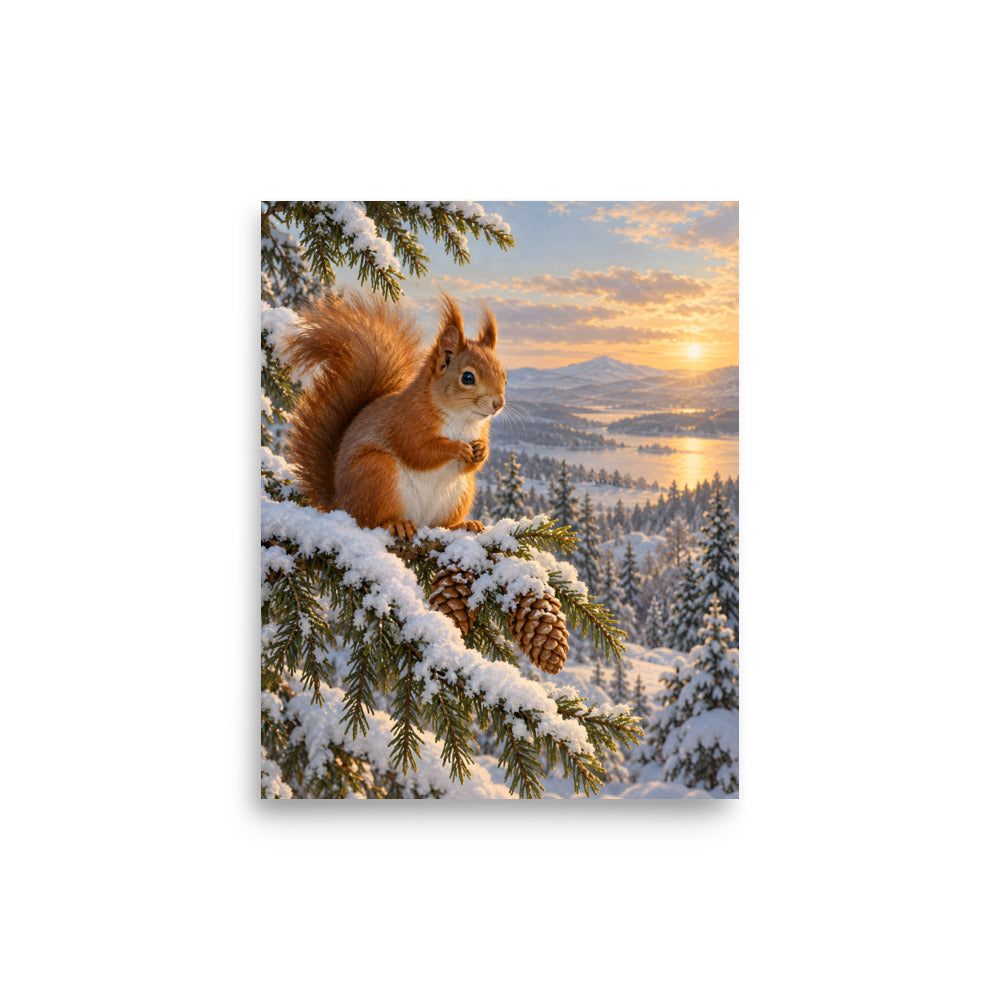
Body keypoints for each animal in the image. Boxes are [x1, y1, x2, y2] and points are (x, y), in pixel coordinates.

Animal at [284, 289, 506, 540]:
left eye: (504, 376)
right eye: (468, 377)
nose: (498, 404)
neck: (462, 418)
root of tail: (339, 504)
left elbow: (470, 465)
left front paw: (482, 450)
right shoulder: (407, 420)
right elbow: (417, 450)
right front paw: (456, 448)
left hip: (460, 494)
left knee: (441, 525)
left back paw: (464, 525)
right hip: (378, 473)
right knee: (370, 521)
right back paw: (396, 524)